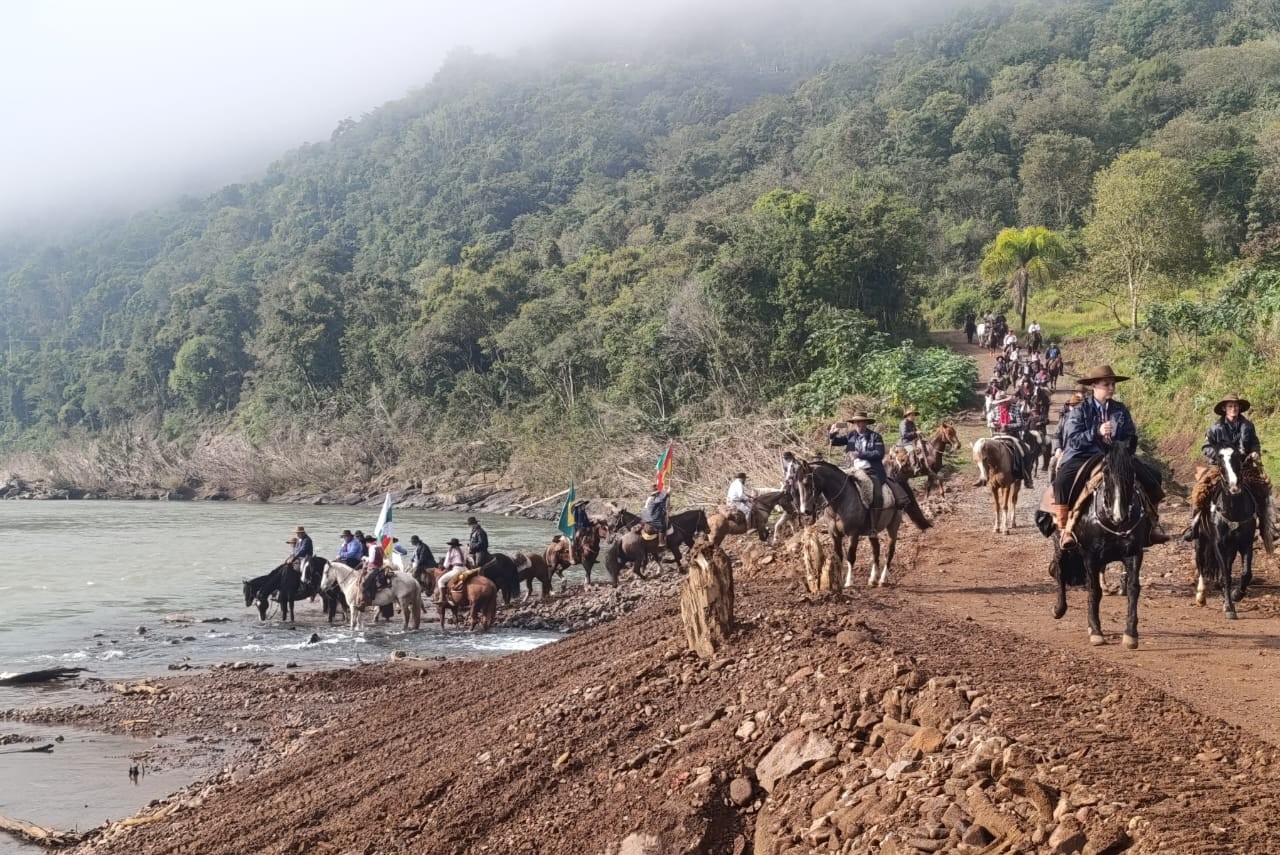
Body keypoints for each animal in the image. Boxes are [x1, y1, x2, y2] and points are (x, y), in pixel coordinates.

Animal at [795, 459, 931, 587]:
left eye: (807, 483)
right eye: (798, 484)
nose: (805, 510)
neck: (840, 503)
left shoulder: (853, 534)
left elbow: (850, 556)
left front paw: (848, 582)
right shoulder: (834, 534)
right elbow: (838, 557)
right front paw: (838, 582)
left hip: (893, 526)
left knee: (889, 551)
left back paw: (882, 579)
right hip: (872, 532)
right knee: (876, 550)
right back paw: (873, 579)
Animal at [1051, 443, 1149, 649]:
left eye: (1131, 470)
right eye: (1105, 471)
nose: (1120, 515)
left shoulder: (1134, 553)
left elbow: (1133, 589)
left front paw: (1130, 634)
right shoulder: (1091, 556)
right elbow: (1094, 590)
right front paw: (1096, 631)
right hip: (1060, 544)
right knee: (1060, 572)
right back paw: (1059, 609)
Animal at [1193, 448, 1256, 617]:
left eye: (1238, 459)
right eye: (1220, 463)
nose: (1234, 486)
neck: (1234, 510)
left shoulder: (1245, 544)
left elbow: (1246, 573)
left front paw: (1236, 595)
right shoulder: (1219, 545)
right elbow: (1226, 576)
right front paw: (1229, 607)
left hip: (1231, 550)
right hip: (1200, 542)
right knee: (1201, 565)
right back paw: (1201, 596)